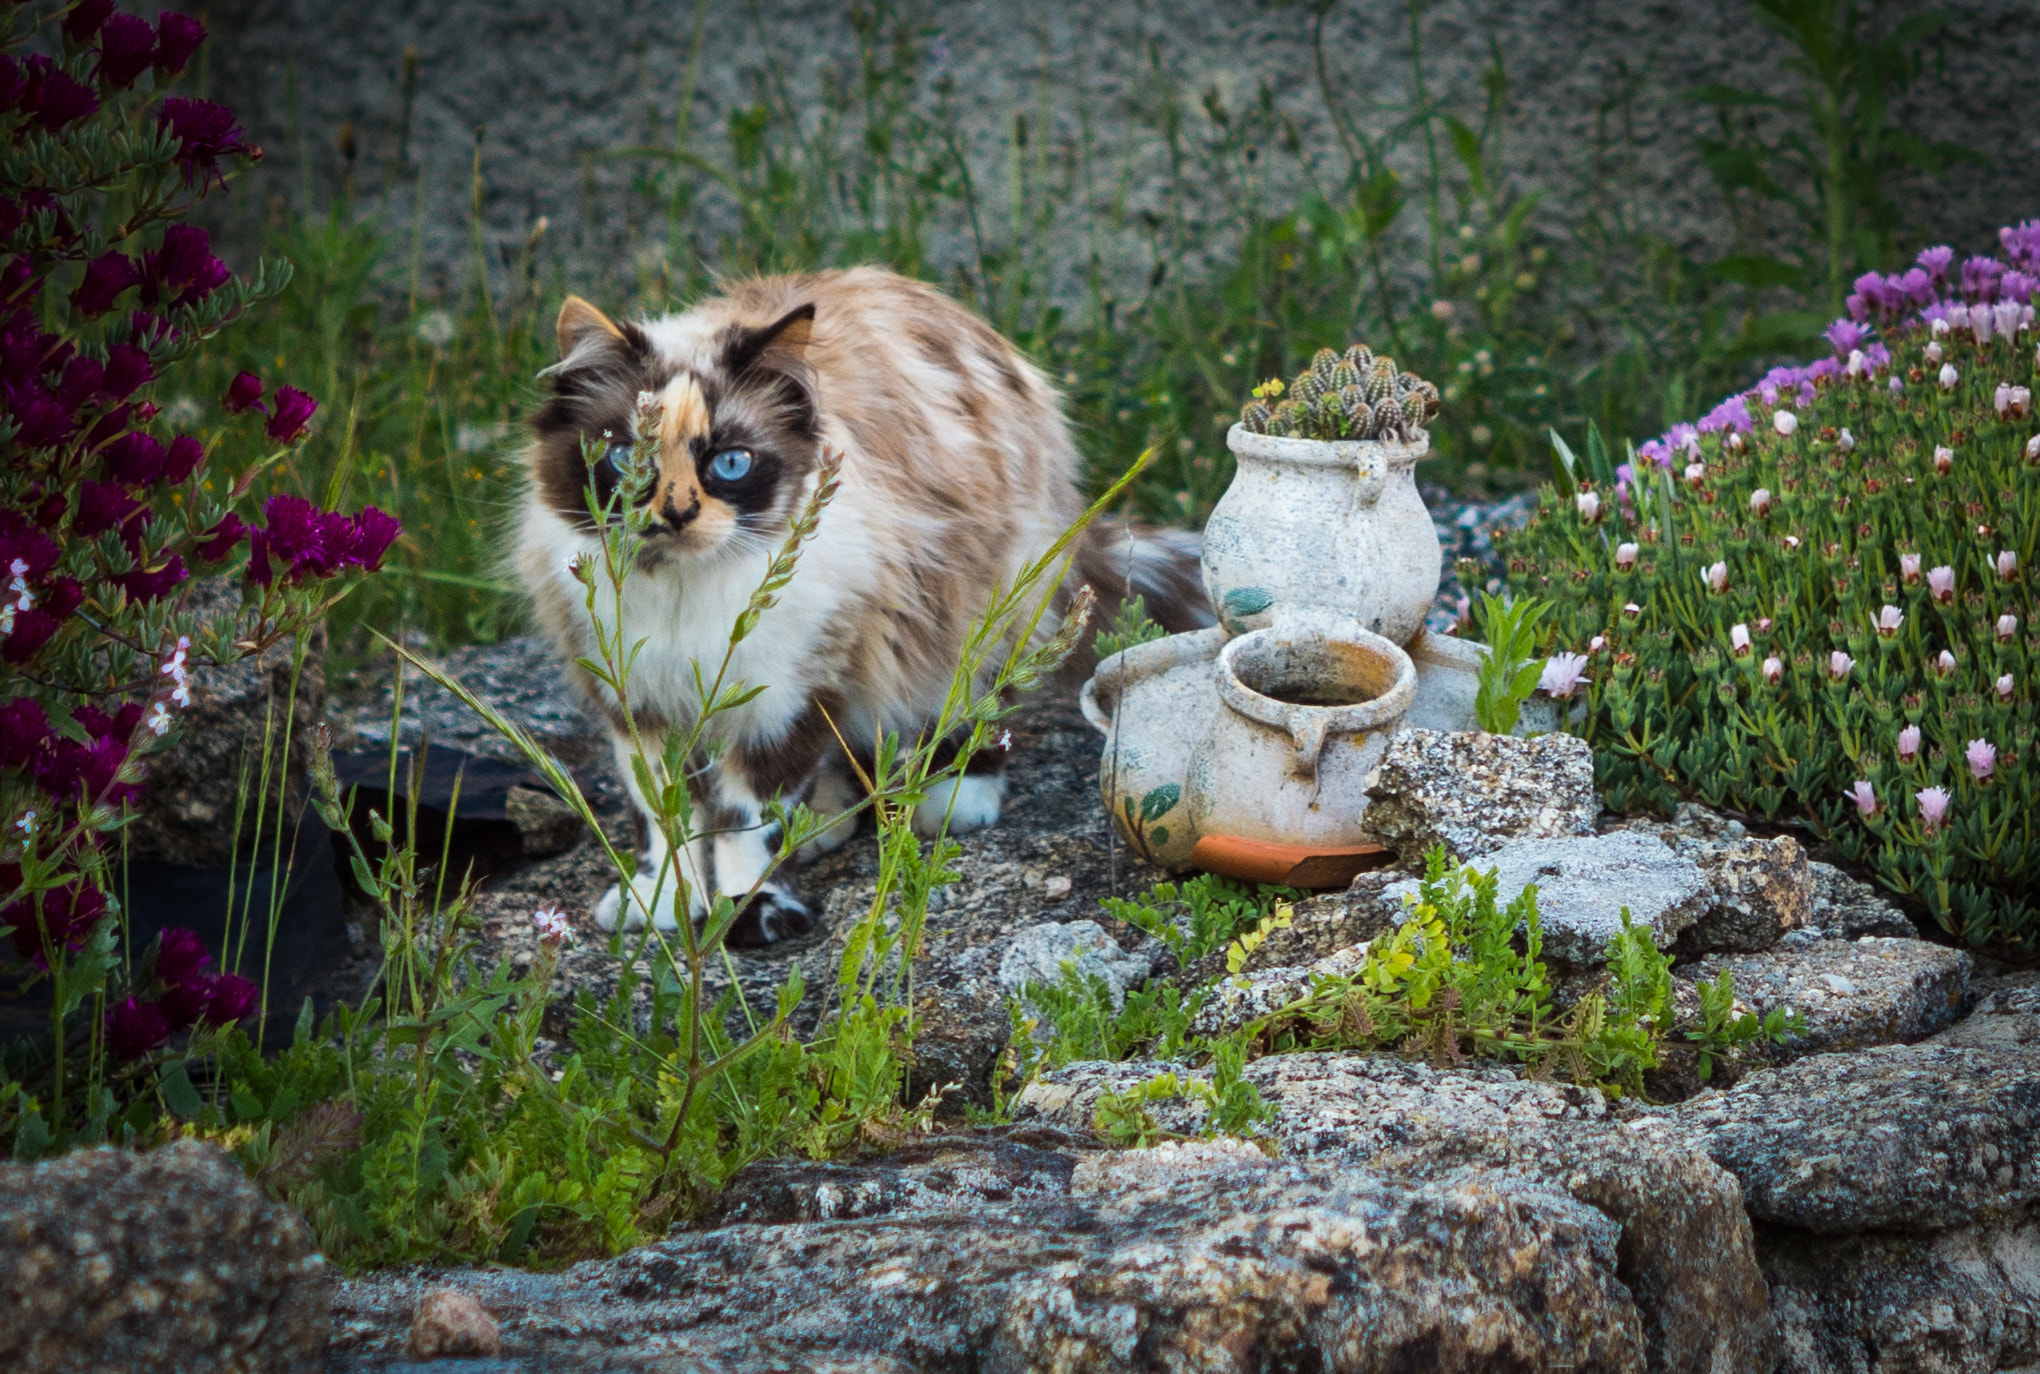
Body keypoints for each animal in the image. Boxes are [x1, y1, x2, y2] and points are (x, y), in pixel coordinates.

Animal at [518, 267, 1199, 941]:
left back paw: (948, 800)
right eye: (624, 457)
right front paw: (661, 908)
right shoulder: (635, 703)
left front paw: (747, 913)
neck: (684, 595)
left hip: (978, 614)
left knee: (968, 714)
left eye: (731, 463)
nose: (676, 514)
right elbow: (662, 818)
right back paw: (824, 823)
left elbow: (745, 816)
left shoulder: (788, 692)